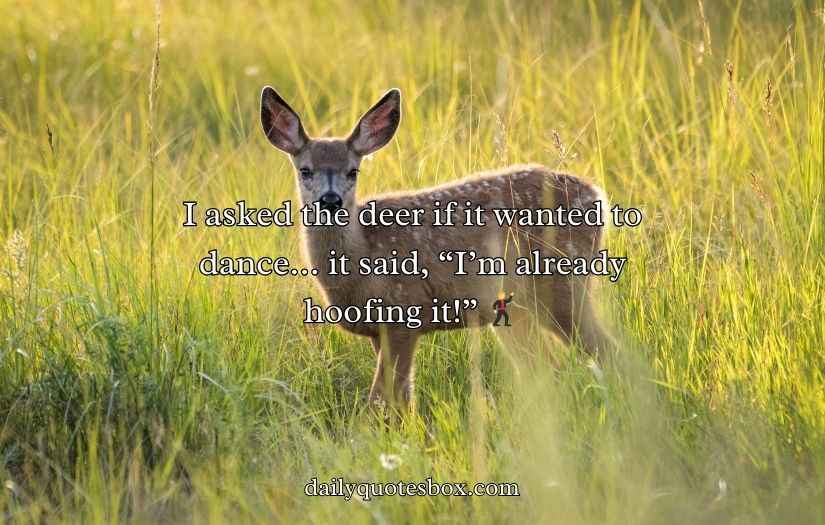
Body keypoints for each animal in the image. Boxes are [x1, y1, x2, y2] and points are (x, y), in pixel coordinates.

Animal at [260, 86, 616, 411]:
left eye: (353, 170)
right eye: (305, 170)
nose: (331, 200)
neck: (362, 259)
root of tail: (597, 194)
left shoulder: (404, 313)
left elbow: (383, 399)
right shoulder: (379, 331)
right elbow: (401, 399)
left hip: (563, 283)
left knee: (607, 351)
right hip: (516, 308)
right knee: (543, 368)